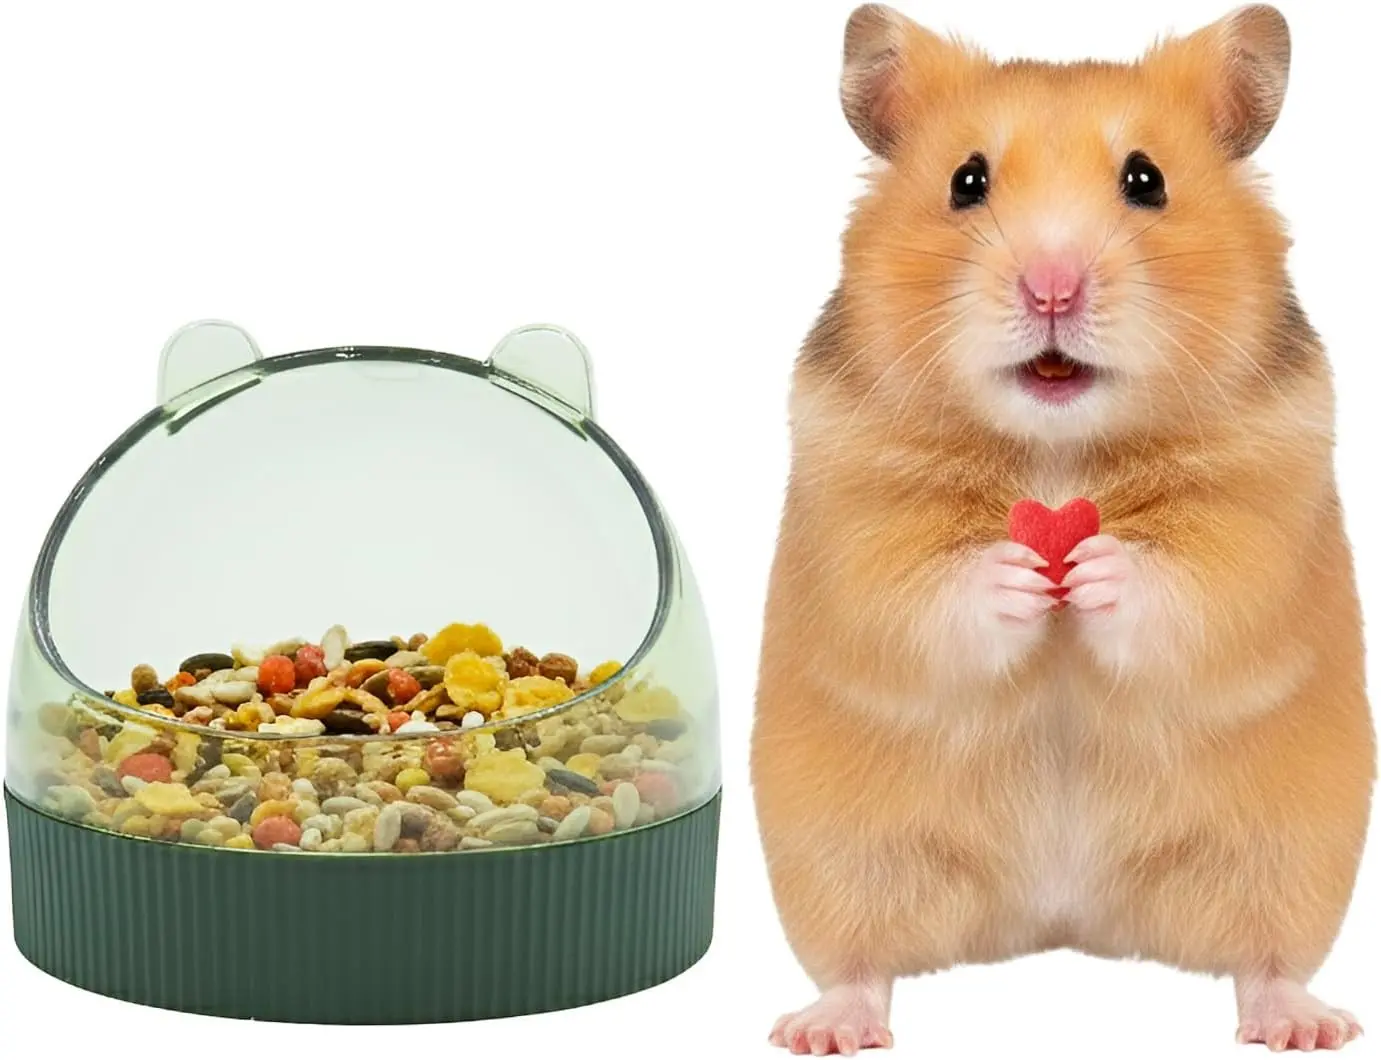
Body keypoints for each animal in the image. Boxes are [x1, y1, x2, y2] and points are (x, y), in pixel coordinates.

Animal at [752, 4, 1375, 1055]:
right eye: (966, 181)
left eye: (1145, 179)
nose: (1051, 288)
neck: (1058, 451)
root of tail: (1061, 919)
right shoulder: (857, 511)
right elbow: (919, 589)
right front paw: (1022, 571)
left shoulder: (1260, 511)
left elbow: (1196, 581)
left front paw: (1093, 570)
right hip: (839, 853)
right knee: (860, 960)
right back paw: (826, 1028)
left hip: (1286, 848)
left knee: (1263, 954)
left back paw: (1300, 1023)